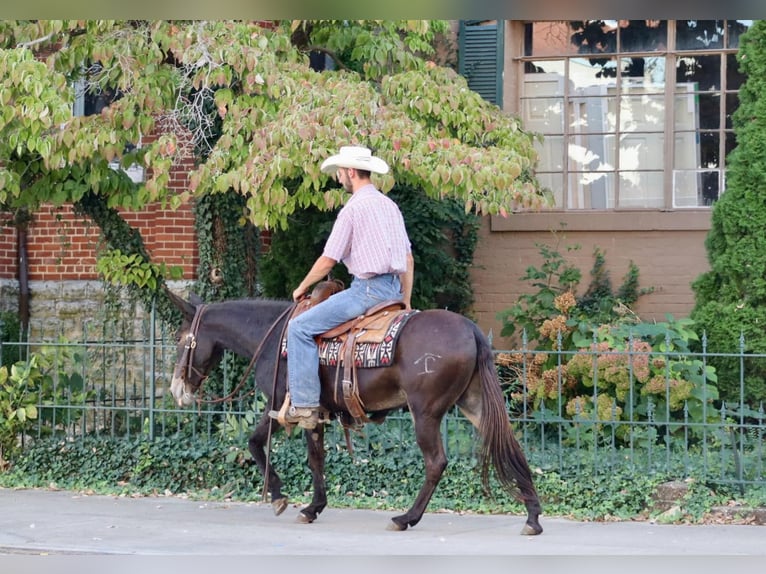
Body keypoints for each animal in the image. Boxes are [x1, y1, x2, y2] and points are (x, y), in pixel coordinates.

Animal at [169, 294, 544, 536]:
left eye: (183, 339)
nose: (176, 389)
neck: (273, 338)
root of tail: (472, 331)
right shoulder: (312, 411)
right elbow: (314, 458)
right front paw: (313, 507)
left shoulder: (282, 401)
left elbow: (255, 443)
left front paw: (278, 497)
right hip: (474, 403)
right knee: (512, 447)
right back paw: (533, 518)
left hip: (425, 412)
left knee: (436, 462)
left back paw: (405, 518)